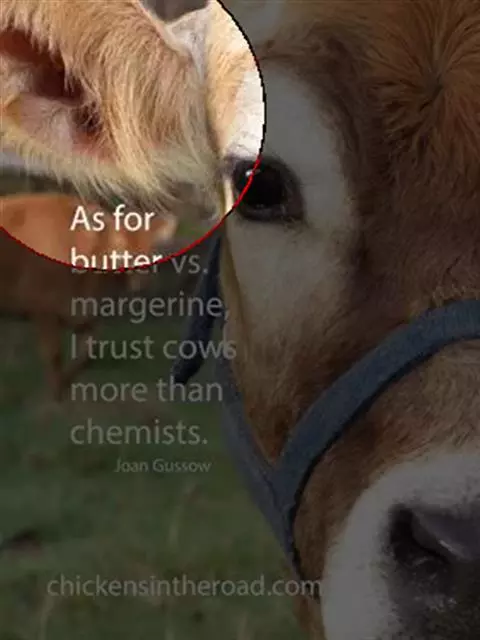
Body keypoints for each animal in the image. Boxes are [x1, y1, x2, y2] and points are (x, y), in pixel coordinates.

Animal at [0, 192, 178, 400]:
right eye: (119, 246)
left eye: (152, 249)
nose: (143, 283)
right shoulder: (43, 309)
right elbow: (53, 354)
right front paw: (55, 394)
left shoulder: (88, 315)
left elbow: (87, 355)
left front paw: (66, 387)